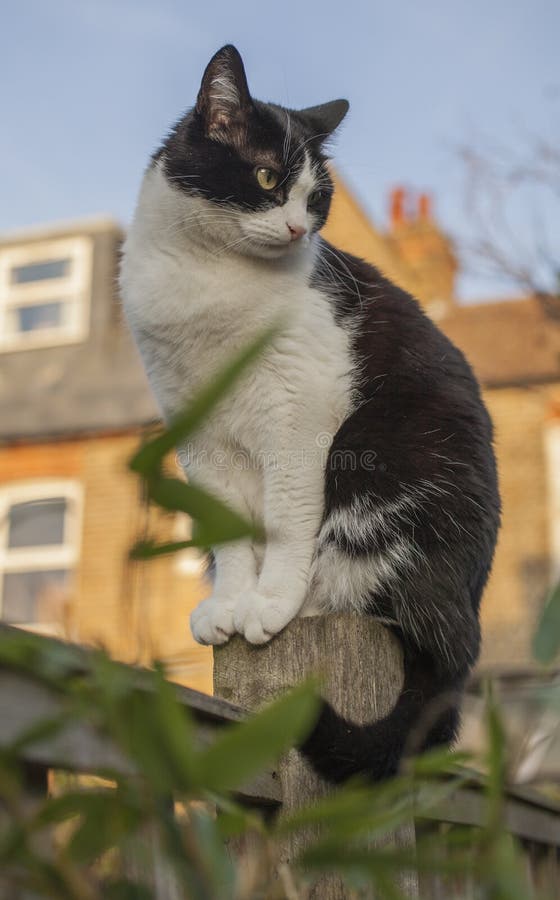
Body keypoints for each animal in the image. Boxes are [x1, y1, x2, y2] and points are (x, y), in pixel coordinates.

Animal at [120, 42, 500, 780]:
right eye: (268, 176)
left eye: (316, 198)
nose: (299, 227)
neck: (207, 279)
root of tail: (467, 625)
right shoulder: (198, 434)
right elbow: (227, 529)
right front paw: (231, 602)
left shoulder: (300, 413)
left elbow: (289, 516)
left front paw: (268, 601)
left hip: (382, 464)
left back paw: (309, 602)